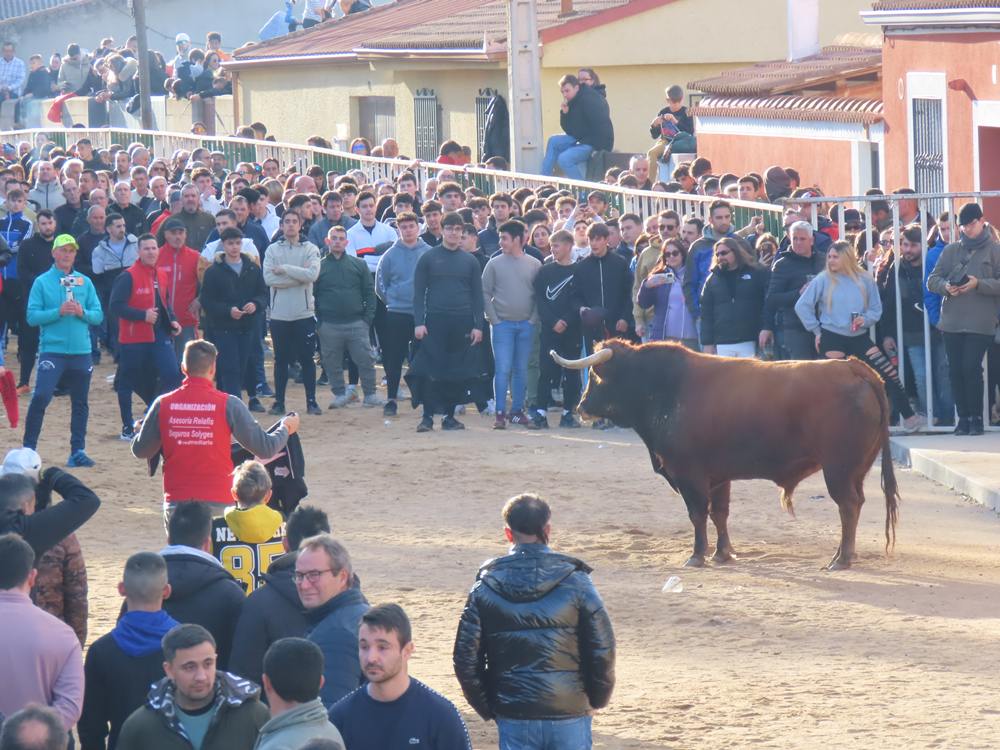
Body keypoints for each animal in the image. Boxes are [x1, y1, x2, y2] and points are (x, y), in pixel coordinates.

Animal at [552, 340, 904, 568]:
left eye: (595, 376)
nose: (580, 407)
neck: (665, 388)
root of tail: (855, 368)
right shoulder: (719, 476)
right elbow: (719, 514)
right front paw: (723, 553)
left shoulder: (689, 473)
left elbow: (697, 514)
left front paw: (697, 555)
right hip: (855, 470)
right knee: (856, 504)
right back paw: (845, 554)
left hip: (838, 470)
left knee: (848, 506)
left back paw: (841, 559)